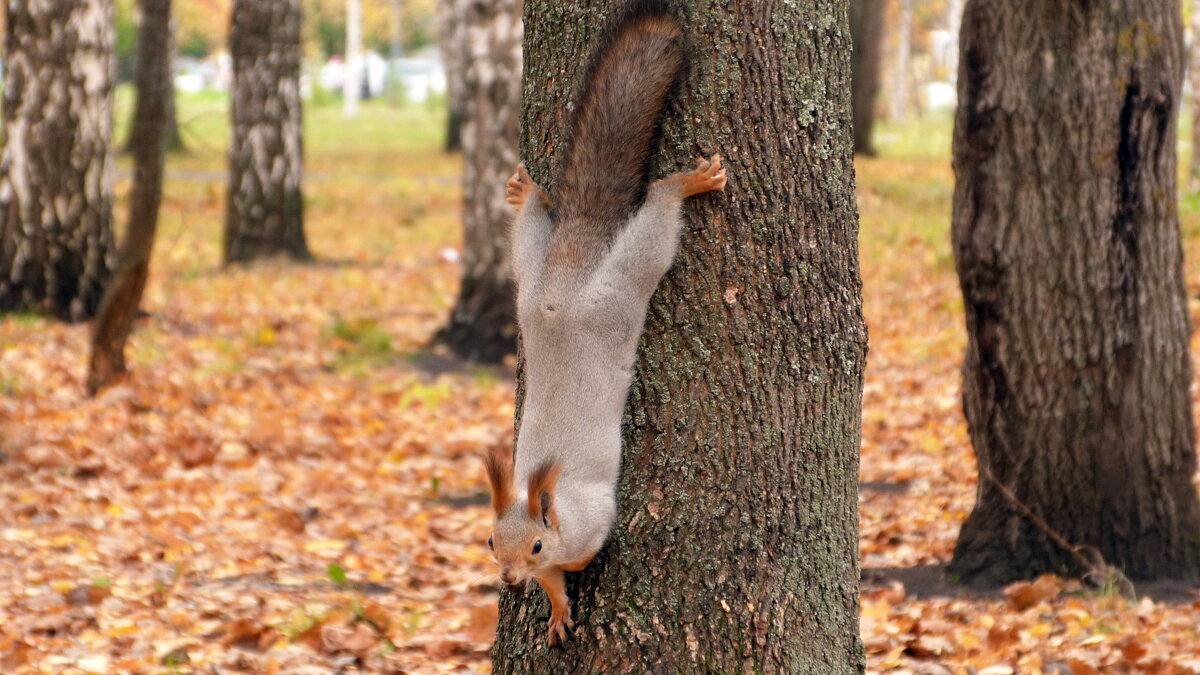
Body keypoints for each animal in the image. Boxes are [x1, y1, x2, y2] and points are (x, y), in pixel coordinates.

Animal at [482, 0, 724, 643]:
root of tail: (565, 289)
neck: (552, 504)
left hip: (621, 288)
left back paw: (686, 184)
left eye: (536, 544)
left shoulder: (595, 517)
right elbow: (555, 588)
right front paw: (557, 609)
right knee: (529, 233)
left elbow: (585, 555)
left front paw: (570, 575)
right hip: (528, 282)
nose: (508, 580)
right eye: (490, 542)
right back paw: (526, 193)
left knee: (658, 214)